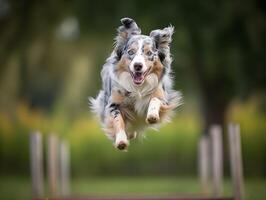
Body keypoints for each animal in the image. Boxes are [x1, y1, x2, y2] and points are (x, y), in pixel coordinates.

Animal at [90, 18, 182, 151]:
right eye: (131, 52)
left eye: (149, 53)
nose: (137, 65)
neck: (138, 88)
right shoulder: (112, 104)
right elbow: (118, 120)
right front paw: (121, 140)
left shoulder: (163, 98)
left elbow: (155, 99)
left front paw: (152, 115)